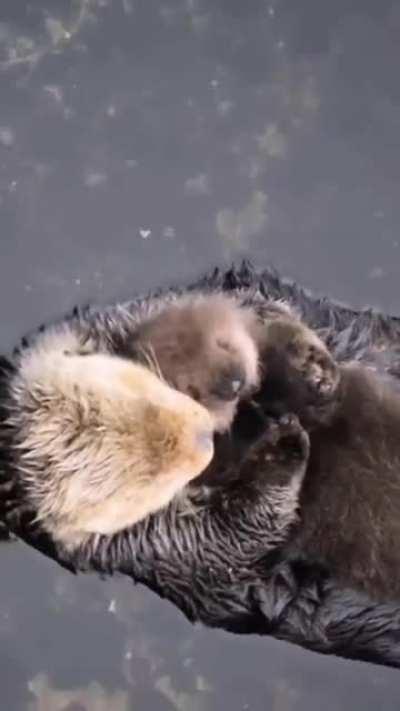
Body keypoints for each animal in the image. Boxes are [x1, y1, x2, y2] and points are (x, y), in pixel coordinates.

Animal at [2, 263, 400, 669]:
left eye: (146, 391)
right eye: (152, 480)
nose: (204, 435)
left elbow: (252, 301)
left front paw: (300, 363)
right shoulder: (165, 549)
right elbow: (239, 537)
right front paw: (283, 446)